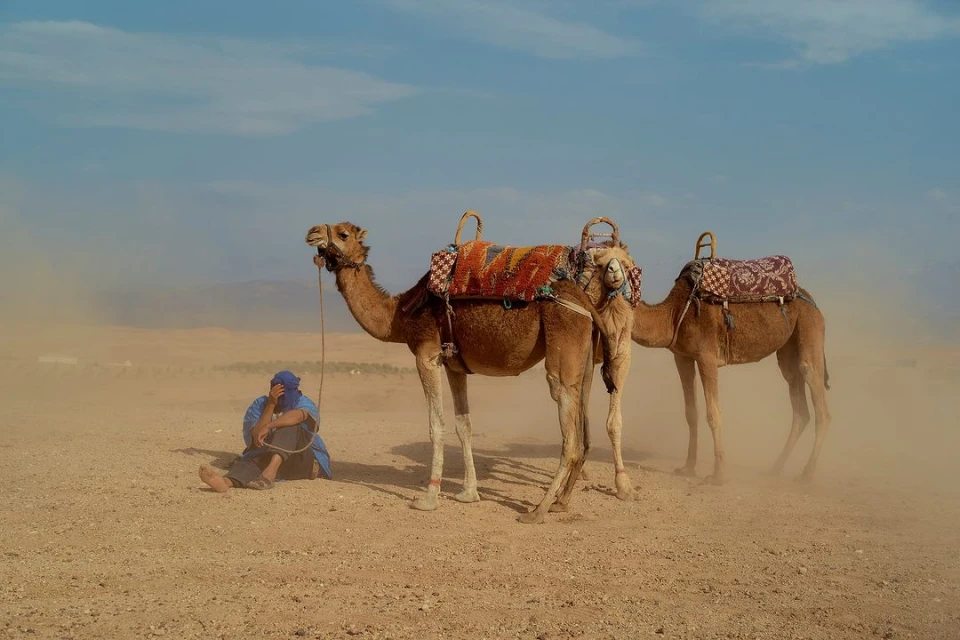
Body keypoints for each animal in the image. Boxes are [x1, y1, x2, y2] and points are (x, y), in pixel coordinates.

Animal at [303, 214, 629, 524]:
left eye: (343, 233)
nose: (312, 232)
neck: (400, 314)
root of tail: (584, 299)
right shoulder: (454, 365)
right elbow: (465, 425)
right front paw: (468, 493)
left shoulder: (427, 355)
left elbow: (436, 425)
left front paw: (429, 498)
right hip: (584, 361)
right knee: (582, 427)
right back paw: (561, 502)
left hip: (563, 349)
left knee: (569, 433)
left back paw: (537, 510)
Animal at [629, 231, 831, 484]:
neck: (674, 313)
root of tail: (812, 301)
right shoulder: (682, 357)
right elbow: (691, 413)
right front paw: (688, 468)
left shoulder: (706, 357)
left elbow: (713, 414)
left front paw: (718, 475)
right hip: (788, 351)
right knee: (800, 406)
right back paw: (774, 469)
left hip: (809, 329)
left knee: (819, 404)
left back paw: (806, 474)